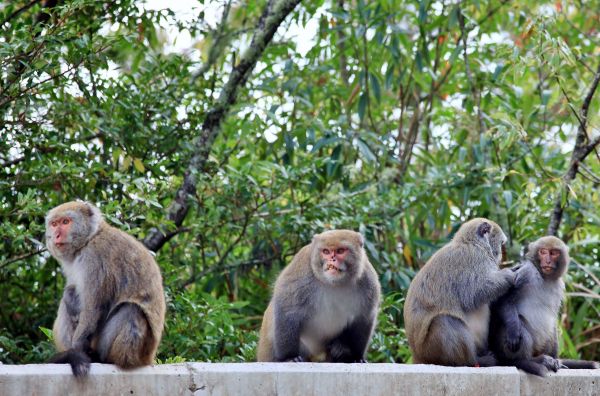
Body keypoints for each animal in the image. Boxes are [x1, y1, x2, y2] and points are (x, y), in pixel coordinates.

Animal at [45, 203, 165, 376]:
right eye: (54, 224)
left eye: (66, 222)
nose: (56, 235)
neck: (90, 238)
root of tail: (148, 358)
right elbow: (73, 294)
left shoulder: (93, 259)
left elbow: (93, 309)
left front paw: (77, 351)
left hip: (135, 350)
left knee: (131, 309)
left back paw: (103, 358)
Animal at [256, 229, 380, 362]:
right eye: (326, 251)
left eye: (340, 251)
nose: (332, 260)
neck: (335, 284)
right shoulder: (301, 272)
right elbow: (287, 309)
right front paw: (289, 357)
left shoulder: (368, 280)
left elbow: (364, 317)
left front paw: (356, 356)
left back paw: (340, 349)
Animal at [400, 218, 512, 366]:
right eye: (501, 243)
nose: (499, 254)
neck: (470, 242)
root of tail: (417, 355)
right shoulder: (475, 258)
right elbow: (472, 295)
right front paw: (508, 275)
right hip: (430, 349)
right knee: (444, 320)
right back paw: (472, 360)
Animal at [490, 237, 596, 376]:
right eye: (543, 252)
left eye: (554, 253)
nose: (548, 261)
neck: (544, 277)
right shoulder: (526, 272)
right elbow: (502, 301)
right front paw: (513, 330)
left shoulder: (559, 285)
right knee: (520, 324)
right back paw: (528, 360)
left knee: (552, 331)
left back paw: (554, 360)